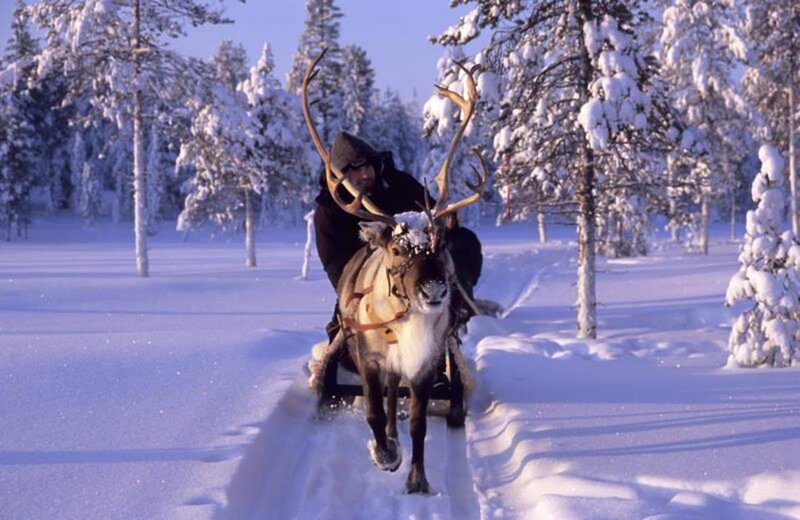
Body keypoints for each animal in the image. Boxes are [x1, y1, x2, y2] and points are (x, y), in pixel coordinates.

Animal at [302, 49, 486, 495]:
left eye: (440, 245)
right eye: (399, 248)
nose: (435, 291)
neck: (399, 323)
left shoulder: (422, 365)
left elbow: (418, 423)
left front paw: (417, 480)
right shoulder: (369, 359)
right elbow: (371, 411)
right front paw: (385, 455)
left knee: (395, 400)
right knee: (383, 400)